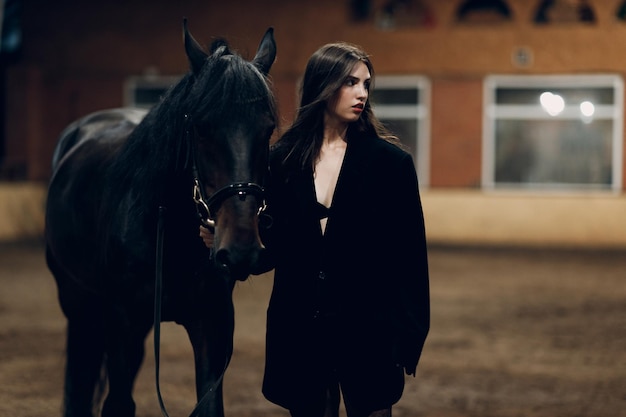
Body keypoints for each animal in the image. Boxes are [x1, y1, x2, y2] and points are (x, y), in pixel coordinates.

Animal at [44, 20, 276, 416]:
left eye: (269, 127)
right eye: (200, 126)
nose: (241, 249)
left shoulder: (213, 322)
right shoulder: (122, 322)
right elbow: (118, 403)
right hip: (78, 305)